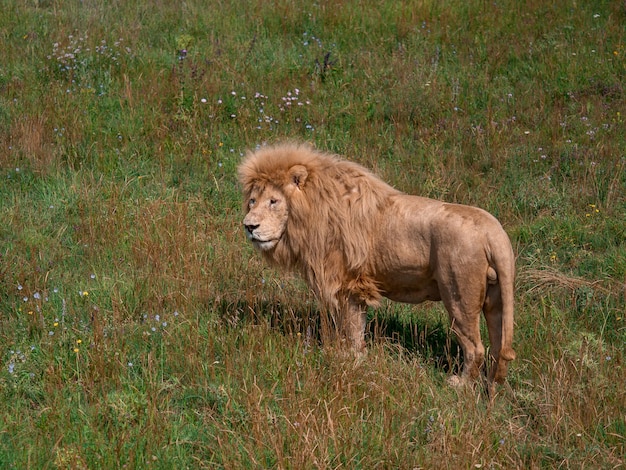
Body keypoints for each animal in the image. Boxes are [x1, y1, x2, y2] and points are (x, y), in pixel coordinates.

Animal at [236, 143, 516, 386]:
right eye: (252, 201)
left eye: (273, 201)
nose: (249, 226)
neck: (310, 214)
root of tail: (494, 231)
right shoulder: (356, 288)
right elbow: (357, 326)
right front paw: (357, 357)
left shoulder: (346, 284)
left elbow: (350, 327)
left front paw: (349, 359)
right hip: (495, 298)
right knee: (497, 345)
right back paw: (491, 384)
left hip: (458, 295)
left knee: (475, 347)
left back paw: (460, 384)